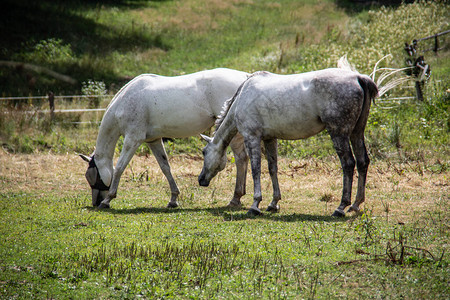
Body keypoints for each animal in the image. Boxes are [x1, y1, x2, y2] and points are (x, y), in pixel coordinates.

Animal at [80, 68, 250, 209]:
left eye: (93, 177)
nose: (95, 202)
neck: (126, 100)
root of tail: (246, 78)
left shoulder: (132, 139)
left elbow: (120, 167)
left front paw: (107, 200)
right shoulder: (153, 141)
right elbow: (165, 167)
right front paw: (173, 199)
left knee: (241, 159)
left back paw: (235, 198)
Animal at [199, 66, 378, 216]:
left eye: (204, 152)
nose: (201, 179)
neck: (242, 97)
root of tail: (358, 77)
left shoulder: (252, 138)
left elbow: (256, 169)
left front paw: (255, 205)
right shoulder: (270, 139)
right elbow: (272, 168)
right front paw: (273, 203)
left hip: (339, 133)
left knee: (348, 164)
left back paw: (341, 207)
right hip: (356, 132)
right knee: (362, 162)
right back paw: (355, 205)